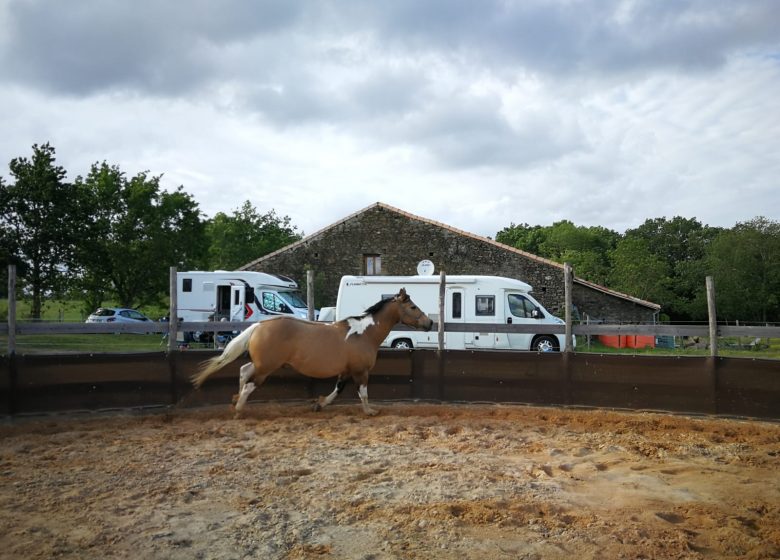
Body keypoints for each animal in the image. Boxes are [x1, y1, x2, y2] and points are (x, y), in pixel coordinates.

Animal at [189, 288, 432, 416]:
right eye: (413, 307)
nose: (429, 323)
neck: (364, 333)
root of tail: (259, 325)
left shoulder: (346, 370)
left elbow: (338, 389)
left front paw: (320, 403)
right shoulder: (360, 371)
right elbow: (362, 392)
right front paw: (370, 411)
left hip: (261, 364)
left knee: (243, 371)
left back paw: (235, 399)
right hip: (267, 367)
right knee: (249, 382)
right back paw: (239, 408)